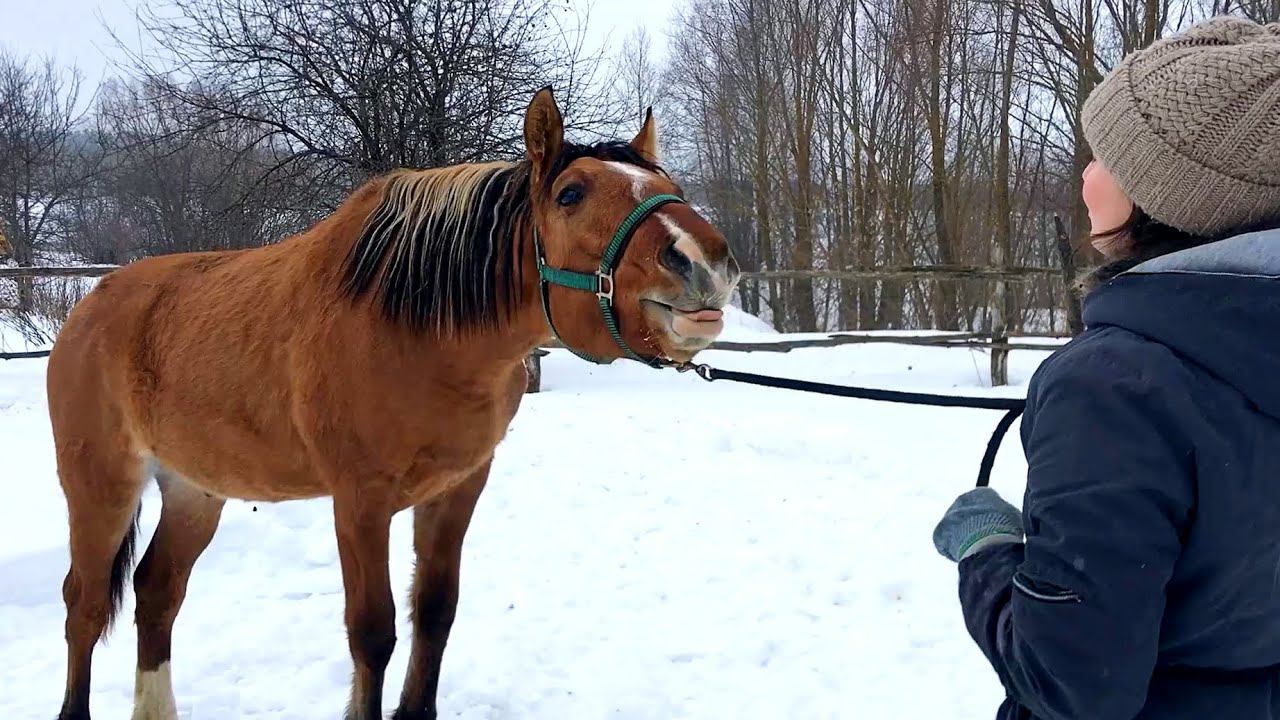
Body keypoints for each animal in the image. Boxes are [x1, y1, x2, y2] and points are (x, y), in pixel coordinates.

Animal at [47, 87, 740, 720]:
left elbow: (434, 614)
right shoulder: (360, 501)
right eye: (571, 194)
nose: (703, 260)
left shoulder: (457, 490)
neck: (417, 327)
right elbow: (373, 634)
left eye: (670, 183)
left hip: (195, 489)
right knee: (84, 606)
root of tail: (87, 307)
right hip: (101, 484)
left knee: (157, 592)